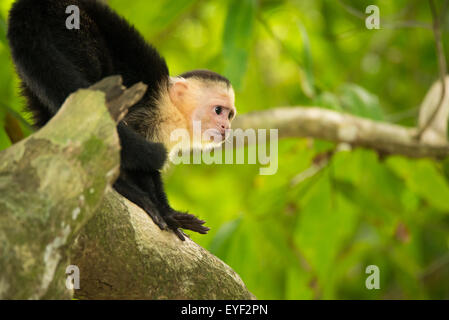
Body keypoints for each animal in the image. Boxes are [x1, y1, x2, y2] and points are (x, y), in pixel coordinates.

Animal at [6, 0, 234, 240]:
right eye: (218, 110)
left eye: (230, 115)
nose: (226, 126)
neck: (173, 110)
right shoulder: (150, 109)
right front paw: (165, 211)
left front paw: (165, 210)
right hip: (68, 25)